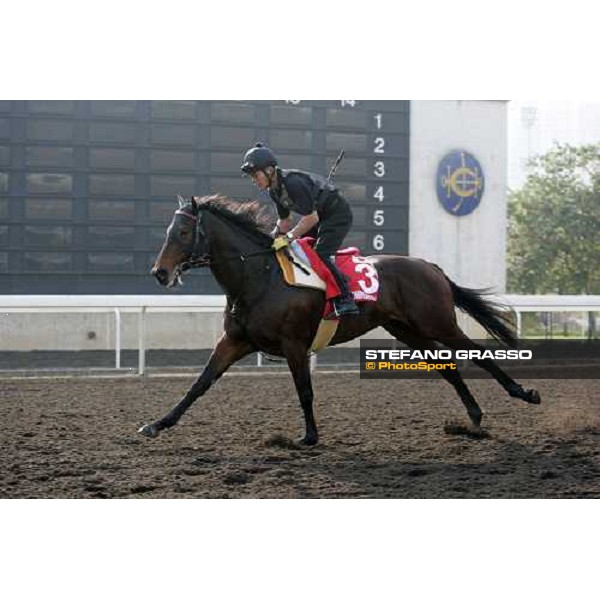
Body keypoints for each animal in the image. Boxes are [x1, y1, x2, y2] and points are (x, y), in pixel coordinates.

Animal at [139, 195, 540, 442]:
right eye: (168, 232)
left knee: (477, 354)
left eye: (184, 232)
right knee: (448, 367)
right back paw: (473, 416)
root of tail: (430, 266)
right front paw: (157, 424)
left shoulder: (294, 343)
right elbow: (199, 384)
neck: (258, 277)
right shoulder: (235, 341)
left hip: (436, 321)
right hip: (406, 330)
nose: (159, 272)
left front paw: (309, 436)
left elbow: (304, 390)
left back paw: (524, 393)